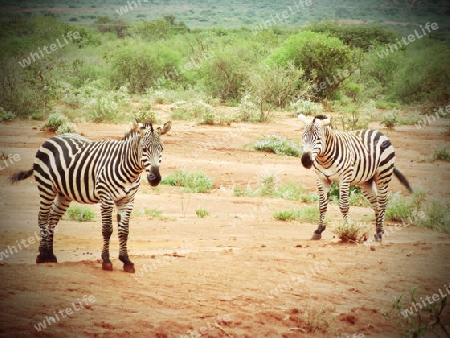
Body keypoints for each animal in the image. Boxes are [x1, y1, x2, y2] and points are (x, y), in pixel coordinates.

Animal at [12, 120, 171, 274]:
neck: (128, 169)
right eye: (144, 149)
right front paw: (106, 261)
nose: (155, 178)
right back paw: (41, 255)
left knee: (52, 219)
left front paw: (126, 261)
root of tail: (52, 138)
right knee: (43, 218)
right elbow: (107, 229)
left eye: (161, 149)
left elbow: (124, 232)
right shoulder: (106, 198)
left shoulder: (127, 200)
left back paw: (50, 256)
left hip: (64, 194)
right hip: (46, 187)